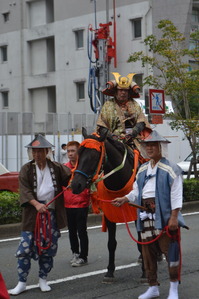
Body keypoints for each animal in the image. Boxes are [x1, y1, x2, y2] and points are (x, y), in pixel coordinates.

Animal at [70, 127, 144, 282]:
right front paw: (109, 271)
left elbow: (141, 239)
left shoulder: (137, 212)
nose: (75, 185)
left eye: (94, 156)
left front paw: (145, 272)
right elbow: (111, 244)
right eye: (78, 154)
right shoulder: (110, 213)